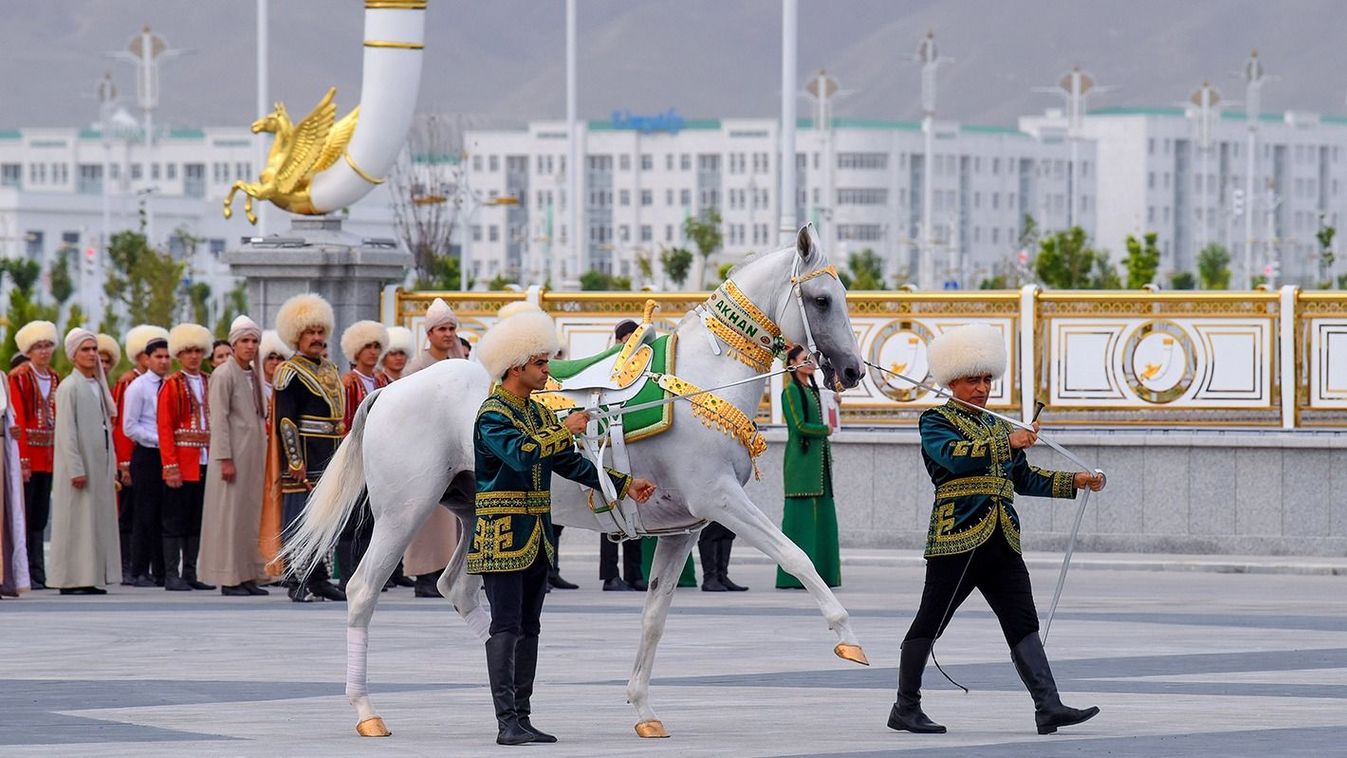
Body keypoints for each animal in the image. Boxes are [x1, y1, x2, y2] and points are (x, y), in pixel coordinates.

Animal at [285, 227, 872, 743]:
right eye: (821, 300)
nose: (851, 371)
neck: (699, 383)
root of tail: (387, 390)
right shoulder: (721, 499)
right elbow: (797, 556)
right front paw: (848, 640)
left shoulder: (684, 528)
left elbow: (654, 618)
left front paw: (642, 708)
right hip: (403, 513)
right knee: (363, 591)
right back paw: (369, 712)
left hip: (474, 514)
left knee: (458, 589)